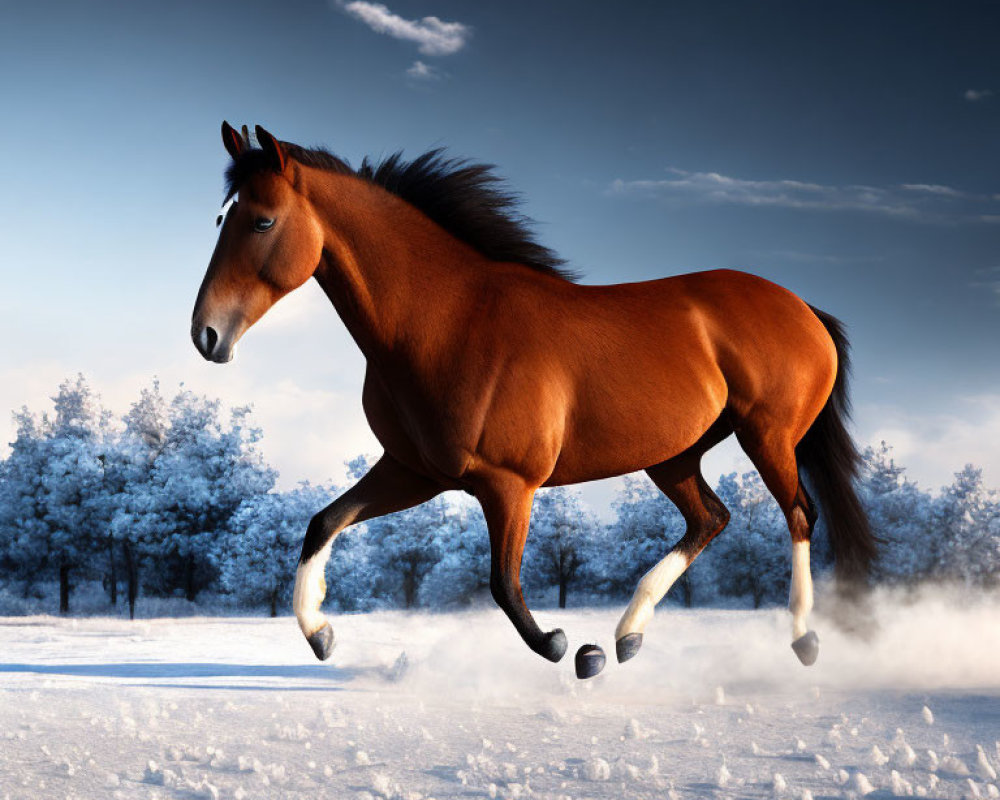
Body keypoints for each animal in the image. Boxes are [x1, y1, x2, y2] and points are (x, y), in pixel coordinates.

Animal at [191, 122, 872, 680]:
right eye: (221, 219)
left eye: (262, 221)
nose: (207, 335)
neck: (447, 321)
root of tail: (803, 308)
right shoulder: (414, 472)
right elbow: (322, 522)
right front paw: (321, 635)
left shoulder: (508, 483)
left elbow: (504, 585)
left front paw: (571, 648)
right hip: (673, 456)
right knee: (711, 518)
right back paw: (628, 637)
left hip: (767, 435)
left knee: (800, 515)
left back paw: (802, 640)